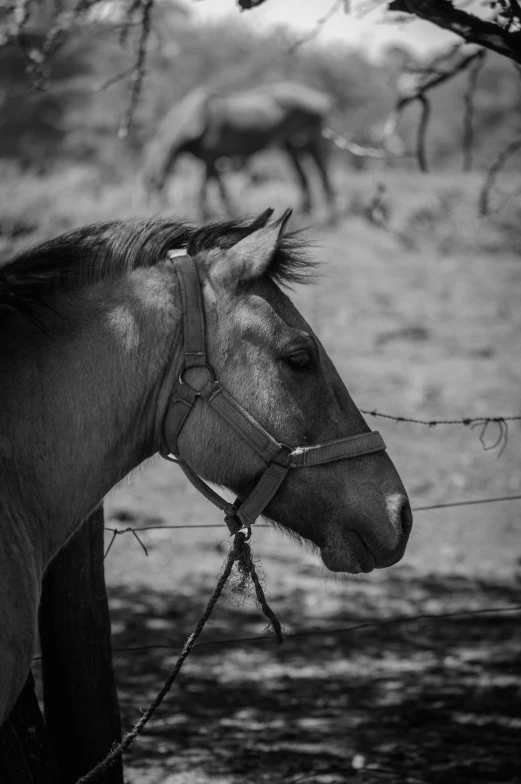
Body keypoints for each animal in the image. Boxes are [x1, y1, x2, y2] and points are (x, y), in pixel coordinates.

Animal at [143, 84, 338, 219]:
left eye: (157, 193)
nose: (151, 216)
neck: (197, 117)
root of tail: (322, 99)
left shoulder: (209, 158)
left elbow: (204, 189)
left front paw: (205, 214)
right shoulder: (213, 160)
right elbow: (219, 187)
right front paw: (228, 211)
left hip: (310, 141)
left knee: (322, 170)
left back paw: (330, 211)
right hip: (291, 146)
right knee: (303, 176)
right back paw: (307, 211)